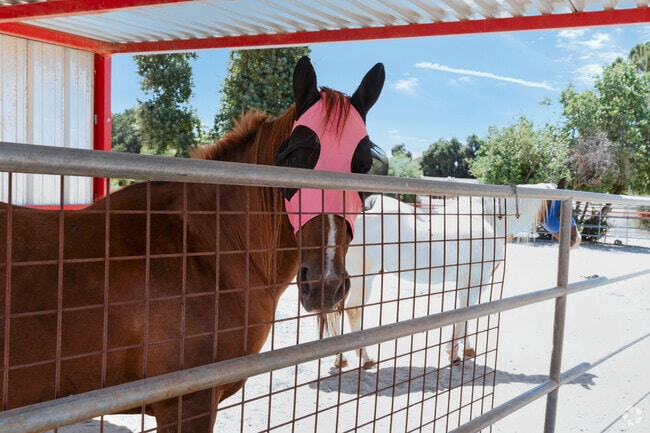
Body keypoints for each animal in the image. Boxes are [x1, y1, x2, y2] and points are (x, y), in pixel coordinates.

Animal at [325, 181, 581, 368]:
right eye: (561, 208)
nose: (576, 239)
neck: (488, 219)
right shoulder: (478, 279)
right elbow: (468, 310)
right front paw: (454, 352)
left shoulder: (466, 280)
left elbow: (464, 310)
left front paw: (462, 348)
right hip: (363, 277)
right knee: (353, 310)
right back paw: (365, 358)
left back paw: (340, 359)